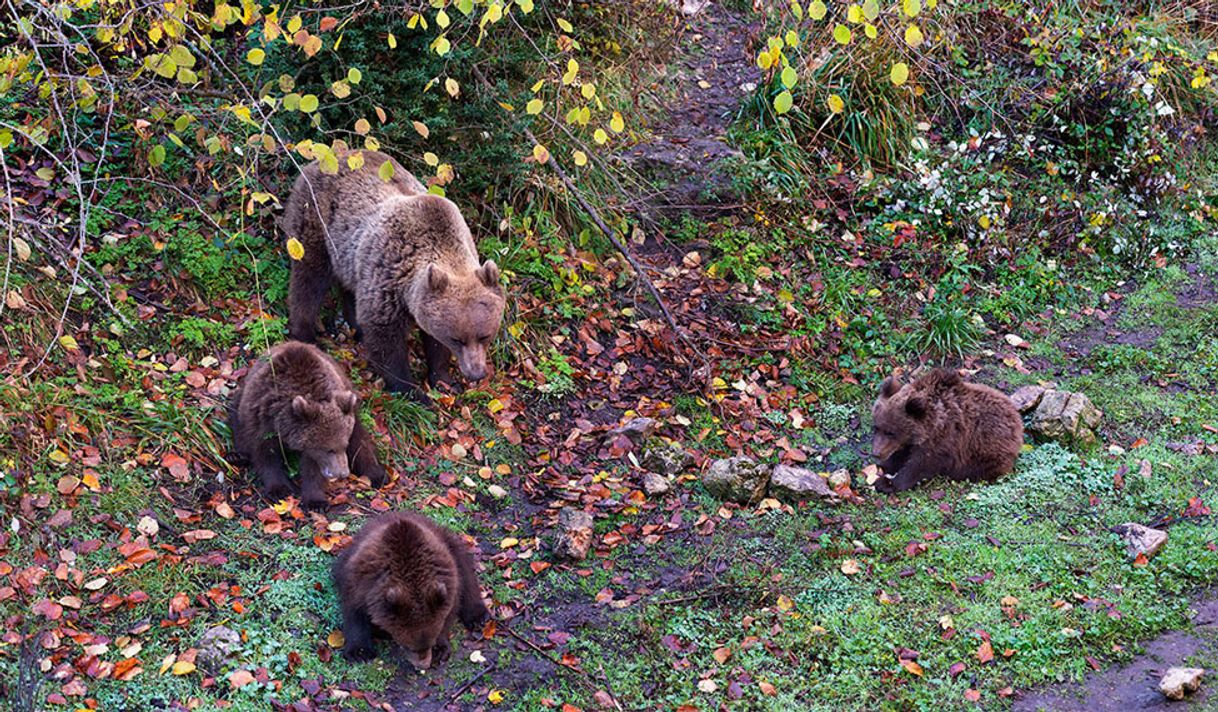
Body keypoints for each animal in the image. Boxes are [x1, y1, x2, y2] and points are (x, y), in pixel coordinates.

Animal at [280, 150, 504, 396]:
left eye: (485, 335)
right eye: (457, 339)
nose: (476, 373)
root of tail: (323, 158)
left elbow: (433, 342)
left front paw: (444, 381)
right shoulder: (389, 277)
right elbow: (386, 338)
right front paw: (411, 390)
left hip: (350, 255)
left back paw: (355, 326)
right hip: (315, 222)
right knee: (309, 278)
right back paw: (305, 334)